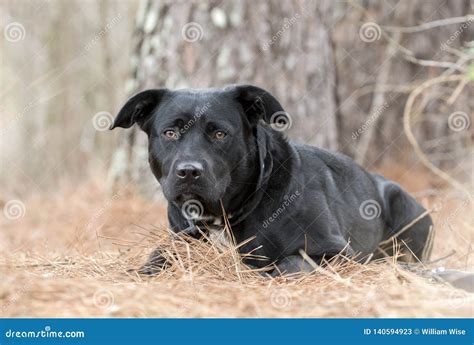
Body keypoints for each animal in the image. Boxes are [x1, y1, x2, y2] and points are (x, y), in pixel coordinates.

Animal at [110, 84, 434, 274]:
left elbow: (290, 262)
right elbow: (158, 256)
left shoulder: (337, 251)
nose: (189, 171)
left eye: (220, 133)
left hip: (403, 205)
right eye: (170, 132)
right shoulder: (181, 239)